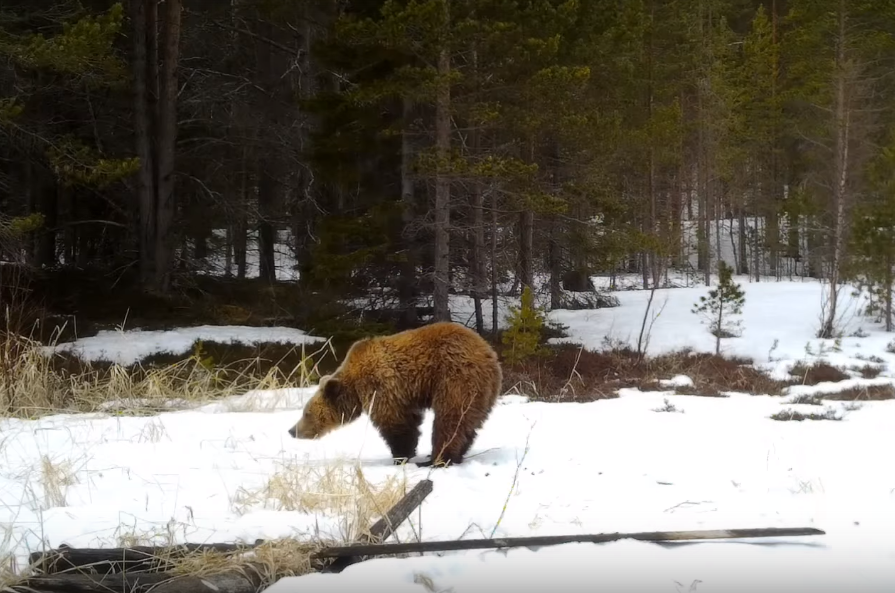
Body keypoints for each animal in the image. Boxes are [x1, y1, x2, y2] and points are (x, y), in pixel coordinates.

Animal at [287, 321, 503, 467]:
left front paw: (400, 456)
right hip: (483, 392)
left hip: (455, 378)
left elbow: (396, 422)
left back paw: (437, 459)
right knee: (468, 424)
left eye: (306, 413)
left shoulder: (381, 386)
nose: (292, 430)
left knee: (450, 420)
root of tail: (489, 353)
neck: (354, 385)